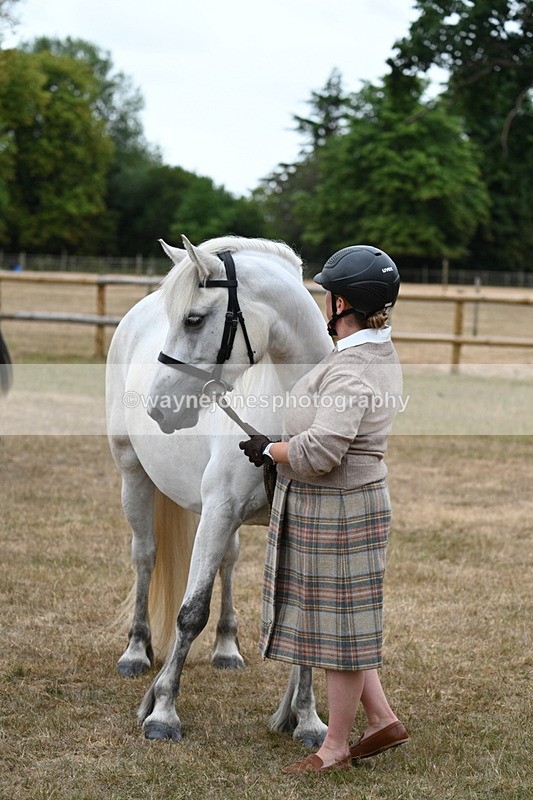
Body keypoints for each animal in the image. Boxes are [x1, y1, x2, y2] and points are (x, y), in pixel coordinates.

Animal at [106, 235, 332, 743]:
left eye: (193, 318)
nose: (158, 408)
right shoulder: (218, 511)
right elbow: (190, 612)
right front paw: (162, 712)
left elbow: (306, 623)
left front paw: (307, 720)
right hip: (134, 475)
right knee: (144, 557)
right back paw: (135, 651)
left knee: (228, 562)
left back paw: (227, 647)